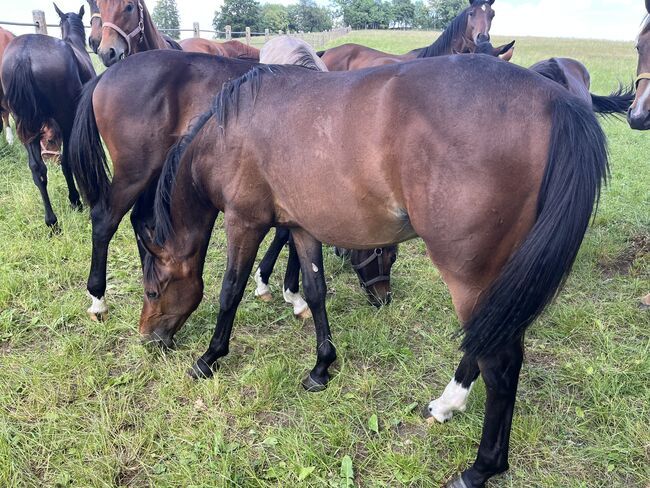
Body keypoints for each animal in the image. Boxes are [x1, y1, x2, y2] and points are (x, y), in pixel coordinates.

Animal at [1, 5, 95, 229]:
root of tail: (23, 56)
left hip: (26, 126)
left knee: (37, 169)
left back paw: (52, 222)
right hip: (65, 118)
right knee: (67, 160)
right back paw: (76, 201)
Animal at [139, 56, 608, 487]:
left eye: (153, 291)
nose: (149, 339)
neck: (227, 132)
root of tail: (555, 100)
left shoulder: (244, 221)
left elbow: (229, 290)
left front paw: (208, 358)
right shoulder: (301, 227)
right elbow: (315, 290)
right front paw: (321, 367)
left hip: (470, 276)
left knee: (500, 364)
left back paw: (480, 468)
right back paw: (446, 406)